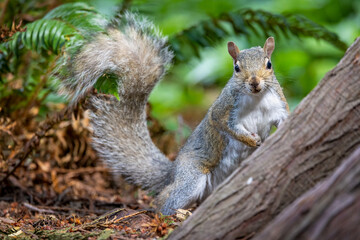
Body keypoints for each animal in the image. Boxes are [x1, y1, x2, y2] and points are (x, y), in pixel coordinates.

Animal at [55, 12, 290, 215]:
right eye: (237, 68)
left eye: (269, 64)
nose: (255, 82)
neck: (256, 98)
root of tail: (173, 173)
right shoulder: (224, 108)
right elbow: (225, 125)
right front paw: (250, 140)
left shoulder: (278, 105)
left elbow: (283, 120)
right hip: (191, 179)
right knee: (164, 200)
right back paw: (176, 214)